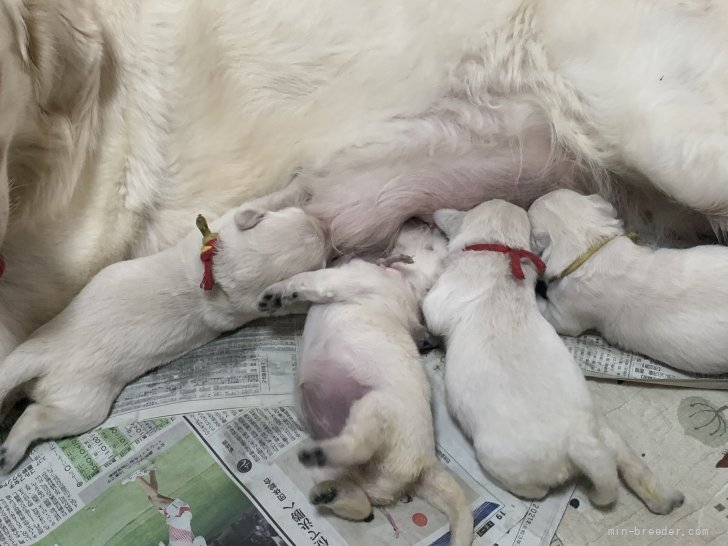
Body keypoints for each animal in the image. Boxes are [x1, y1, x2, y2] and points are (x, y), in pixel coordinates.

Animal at [0, 184, 328, 472]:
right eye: (322, 258)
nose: (324, 228)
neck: (220, 270)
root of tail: (44, 356)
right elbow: (266, 201)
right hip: (82, 405)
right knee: (35, 416)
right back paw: (9, 453)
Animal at [258, 221, 474, 544]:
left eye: (434, 245)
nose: (422, 219)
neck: (403, 279)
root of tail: (425, 466)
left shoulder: (343, 278)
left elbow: (308, 279)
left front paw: (278, 291)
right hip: (341, 470)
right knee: (360, 501)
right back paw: (328, 493)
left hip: (375, 408)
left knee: (359, 445)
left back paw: (322, 458)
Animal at [424, 198, 684, 512]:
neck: (502, 252)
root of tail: (578, 441)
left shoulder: (438, 301)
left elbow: (429, 311)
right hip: (605, 431)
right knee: (628, 461)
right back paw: (664, 499)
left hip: (502, 459)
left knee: (536, 489)